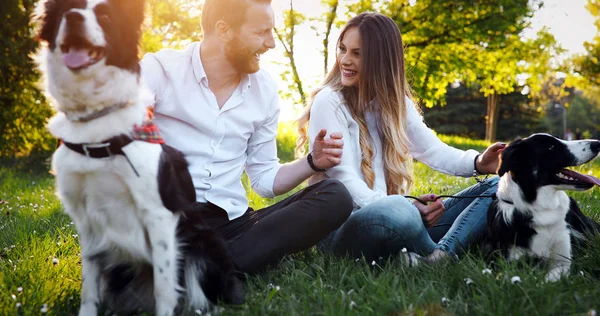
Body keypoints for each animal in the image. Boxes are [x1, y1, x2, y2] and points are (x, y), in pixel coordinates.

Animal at [34, 0, 241, 314]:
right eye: (67, 9)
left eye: (106, 16)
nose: (73, 18)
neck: (96, 124)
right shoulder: (85, 219)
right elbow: (89, 286)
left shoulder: (158, 214)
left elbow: (165, 287)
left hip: (202, 245)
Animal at [488, 133, 600, 282]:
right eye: (551, 147)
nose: (597, 143)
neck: (541, 208)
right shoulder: (507, 262)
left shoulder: (562, 260)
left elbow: (547, 281)